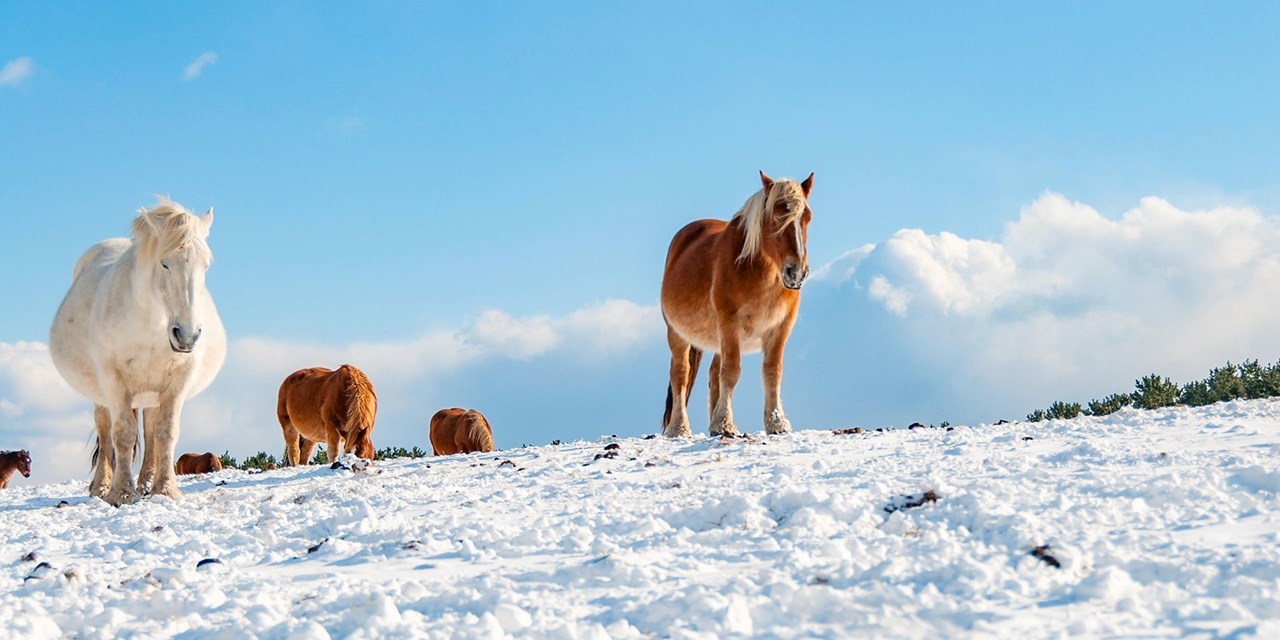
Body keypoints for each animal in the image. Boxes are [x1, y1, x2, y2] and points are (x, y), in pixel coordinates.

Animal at [50, 197, 226, 505]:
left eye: (206, 266)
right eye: (165, 264)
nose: (187, 335)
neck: (152, 326)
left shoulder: (179, 380)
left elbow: (166, 433)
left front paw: (164, 489)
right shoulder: (113, 380)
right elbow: (121, 435)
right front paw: (120, 492)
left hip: (152, 394)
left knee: (151, 431)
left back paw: (145, 483)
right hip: (103, 395)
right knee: (105, 431)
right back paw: (101, 486)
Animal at [660, 171, 814, 438]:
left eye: (807, 217)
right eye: (775, 216)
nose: (796, 273)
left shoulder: (781, 328)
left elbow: (772, 372)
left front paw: (776, 422)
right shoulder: (730, 324)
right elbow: (731, 372)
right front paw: (725, 423)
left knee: (713, 375)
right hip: (677, 334)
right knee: (680, 374)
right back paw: (679, 427)